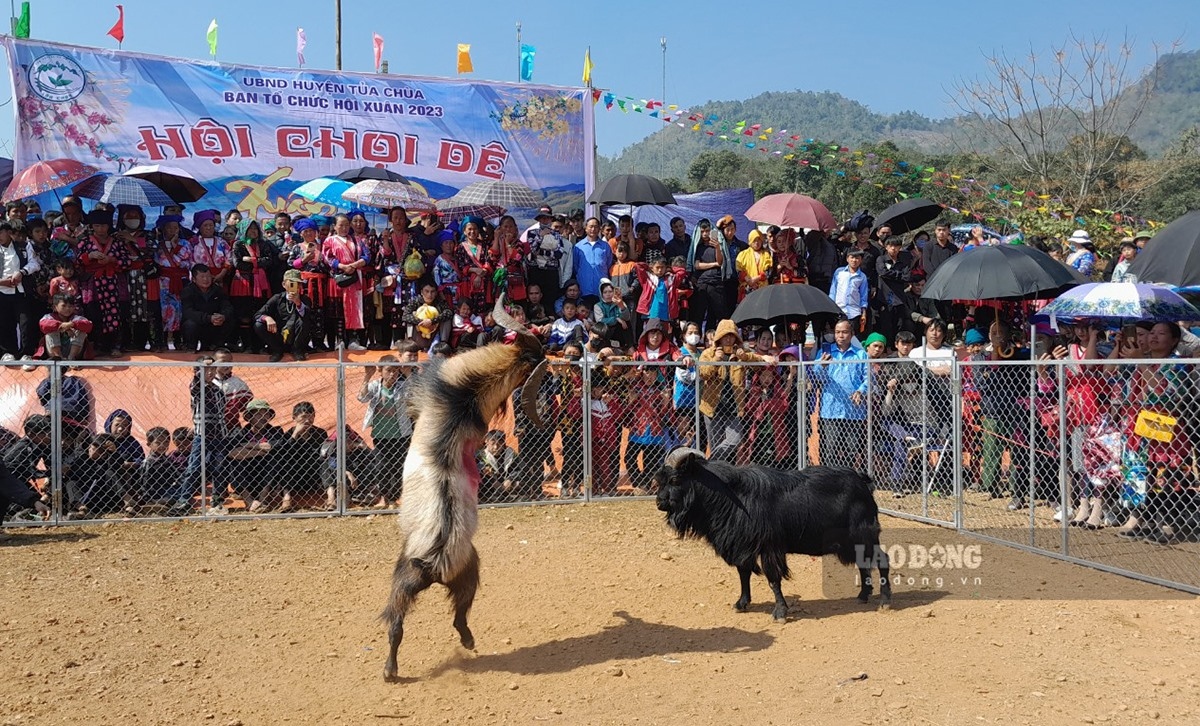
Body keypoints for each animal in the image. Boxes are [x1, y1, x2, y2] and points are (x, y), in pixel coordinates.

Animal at [379, 294, 549, 681]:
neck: (466, 395)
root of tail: (434, 563)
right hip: (460, 573)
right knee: (457, 613)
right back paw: (467, 643)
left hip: (412, 571)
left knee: (396, 622)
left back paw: (391, 670)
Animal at [657, 444, 892, 619]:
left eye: (675, 479)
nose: (659, 502)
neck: (733, 496)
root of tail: (863, 481)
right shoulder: (743, 546)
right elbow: (743, 574)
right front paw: (741, 603)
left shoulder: (769, 548)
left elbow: (773, 579)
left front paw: (780, 612)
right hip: (852, 542)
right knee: (863, 563)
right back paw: (862, 595)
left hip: (864, 535)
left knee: (882, 561)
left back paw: (885, 601)